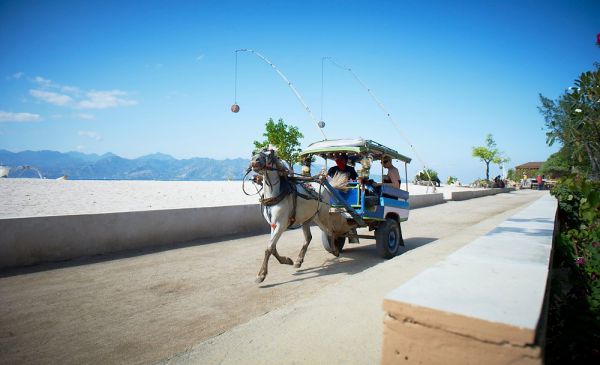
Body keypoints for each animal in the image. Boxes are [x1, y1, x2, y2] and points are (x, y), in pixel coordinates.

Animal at [250, 149, 356, 282]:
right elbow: (272, 247)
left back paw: (335, 250)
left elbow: (269, 248)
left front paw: (261, 274)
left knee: (330, 231)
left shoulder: (281, 224)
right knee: (309, 237)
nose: (254, 161)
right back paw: (299, 260)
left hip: (322, 216)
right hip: (308, 218)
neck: (276, 195)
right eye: (256, 152)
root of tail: (325, 185)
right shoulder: (273, 225)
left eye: (269, 154)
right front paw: (287, 260)